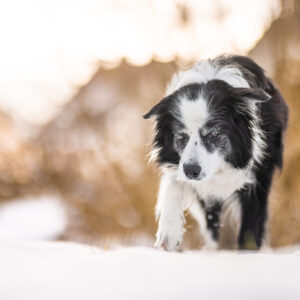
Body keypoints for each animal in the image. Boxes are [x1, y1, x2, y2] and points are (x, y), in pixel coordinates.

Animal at [143, 54, 288, 251]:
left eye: (214, 134)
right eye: (181, 136)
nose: (191, 171)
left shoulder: (258, 179)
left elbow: (250, 226)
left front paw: (248, 253)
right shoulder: (178, 167)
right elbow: (174, 185)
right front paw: (169, 233)